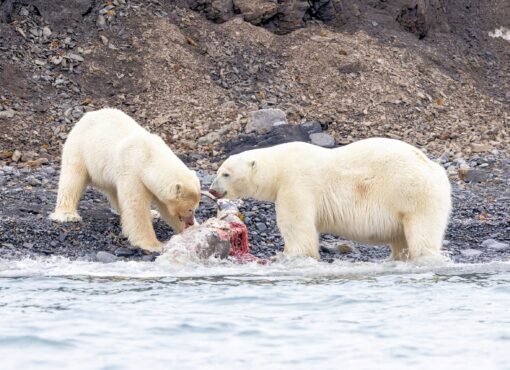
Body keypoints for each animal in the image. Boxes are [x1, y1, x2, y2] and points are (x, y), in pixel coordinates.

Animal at [49, 107, 201, 251]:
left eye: (195, 208)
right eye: (190, 209)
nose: (190, 221)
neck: (148, 155)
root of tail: (87, 115)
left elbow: (165, 207)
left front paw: (194, 230)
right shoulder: (132, 170)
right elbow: (136, 205)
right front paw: (154, 245)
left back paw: (151, 213)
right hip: (80, 148)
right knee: (72, 178)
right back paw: (67, 215)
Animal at [209, 137, 452, 262]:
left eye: (226, 174)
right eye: (218, 171)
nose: (212, 190)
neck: (279, 166)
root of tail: (436, 169)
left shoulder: (296, 183)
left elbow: (296, 224)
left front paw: (287, 255)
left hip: (413, 193)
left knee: (422, 233)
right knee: (401, 239)